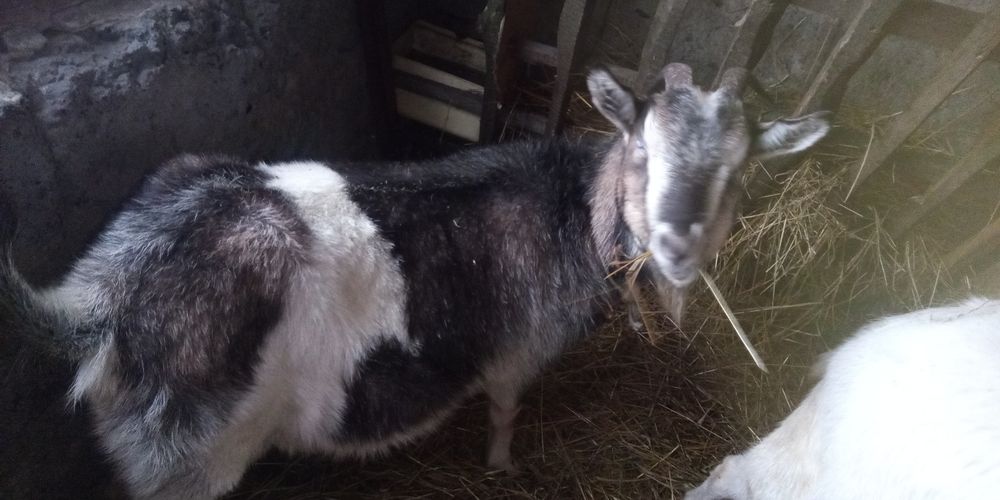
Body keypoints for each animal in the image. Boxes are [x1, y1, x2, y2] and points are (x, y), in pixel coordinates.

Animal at [0, 63, 828, 499]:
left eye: (740, 171)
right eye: (642, 151)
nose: (679, 245)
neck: (567, 211)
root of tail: (109, 291)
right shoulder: (515, 354)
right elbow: (503, 413)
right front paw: (501, 466)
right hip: (187, 462)